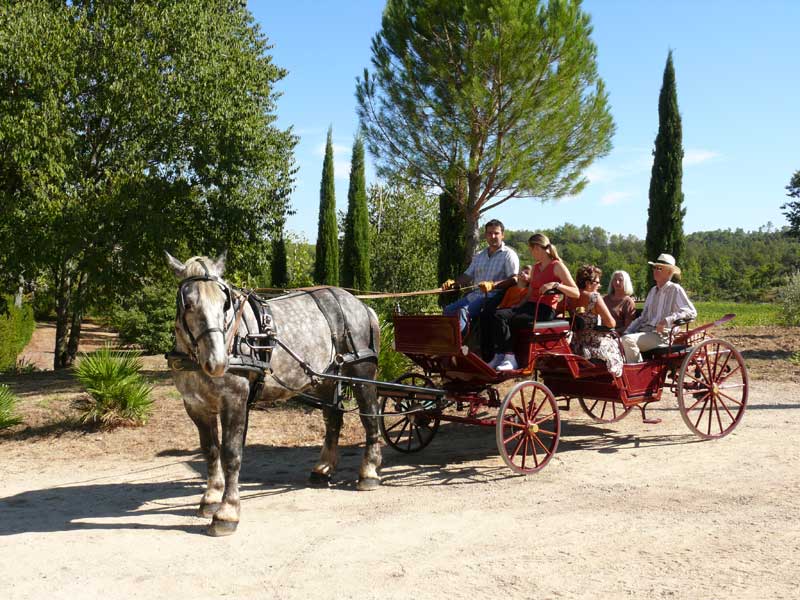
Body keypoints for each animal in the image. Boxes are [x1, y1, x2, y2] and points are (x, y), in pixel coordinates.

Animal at [165, 252, 382, 536]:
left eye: (225, 304)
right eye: (189, 304)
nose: (218, 362)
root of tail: (359, 304)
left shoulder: (234, 401)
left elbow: (231, 454)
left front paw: (227, 512)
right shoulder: (196, 406)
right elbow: (210, 451)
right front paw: (211, 498)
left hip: (361, 372)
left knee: (370, 416)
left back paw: (369, 471)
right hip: (326, 377)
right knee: (333, 419)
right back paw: (323, 469)